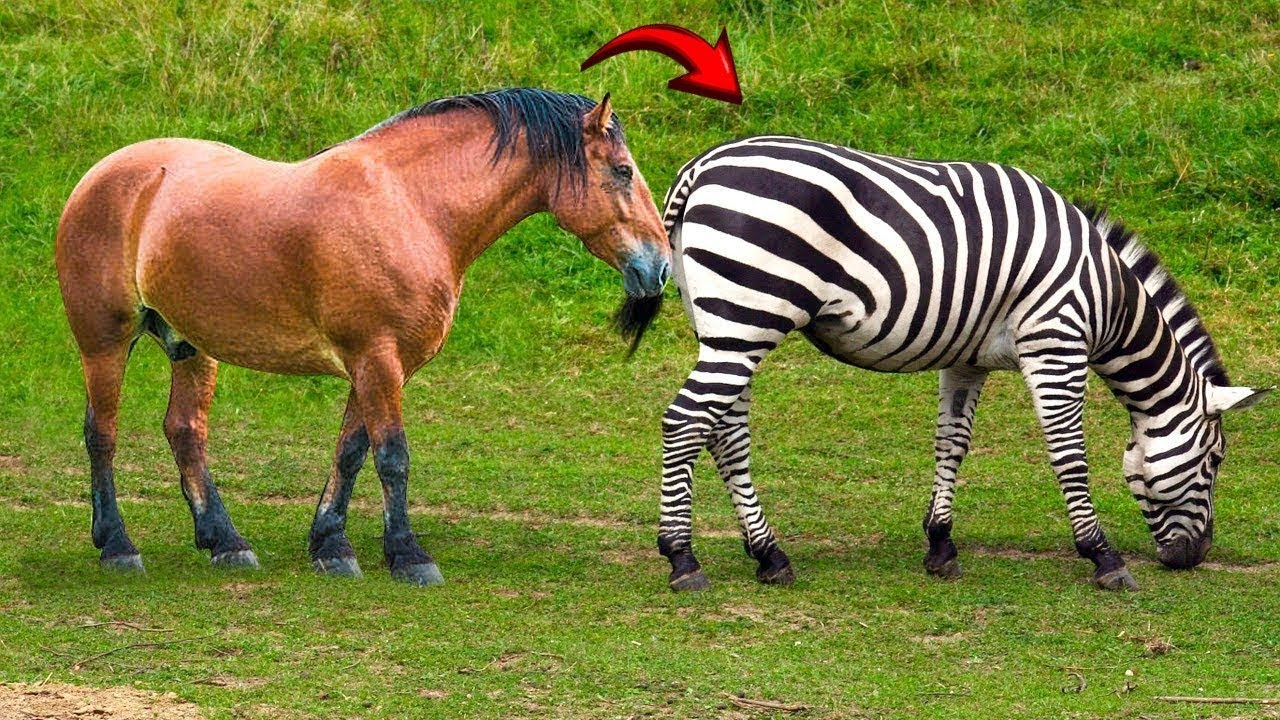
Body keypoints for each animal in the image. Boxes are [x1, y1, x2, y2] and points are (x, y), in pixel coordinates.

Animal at [56, 88, 670, 586]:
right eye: (621, 170)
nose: (659, 268)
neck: (412, 207)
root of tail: (100, 176)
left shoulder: (373, 365)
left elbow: (351, 451)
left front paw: (331, 545)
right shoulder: (377, 359)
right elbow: (392, 455)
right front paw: (408, 556)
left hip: (191, 346)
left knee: (185, 431)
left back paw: (225, 542)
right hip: (104, 343)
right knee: (102, 435)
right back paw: (118, 546)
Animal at [646, 135, 1269, 592]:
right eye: (1215, 461)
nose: (1195, 557)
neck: (1108, 298)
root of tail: (699, 167)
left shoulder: (967, 359)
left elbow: (953, 442)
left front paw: (940, 544)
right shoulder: (1056, 343)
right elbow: (1068, 454)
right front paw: (1103, 556)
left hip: (727, 326)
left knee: (725, 432)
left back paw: (769, 555)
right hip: (748, 316)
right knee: (685, 421)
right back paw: (683, 559)